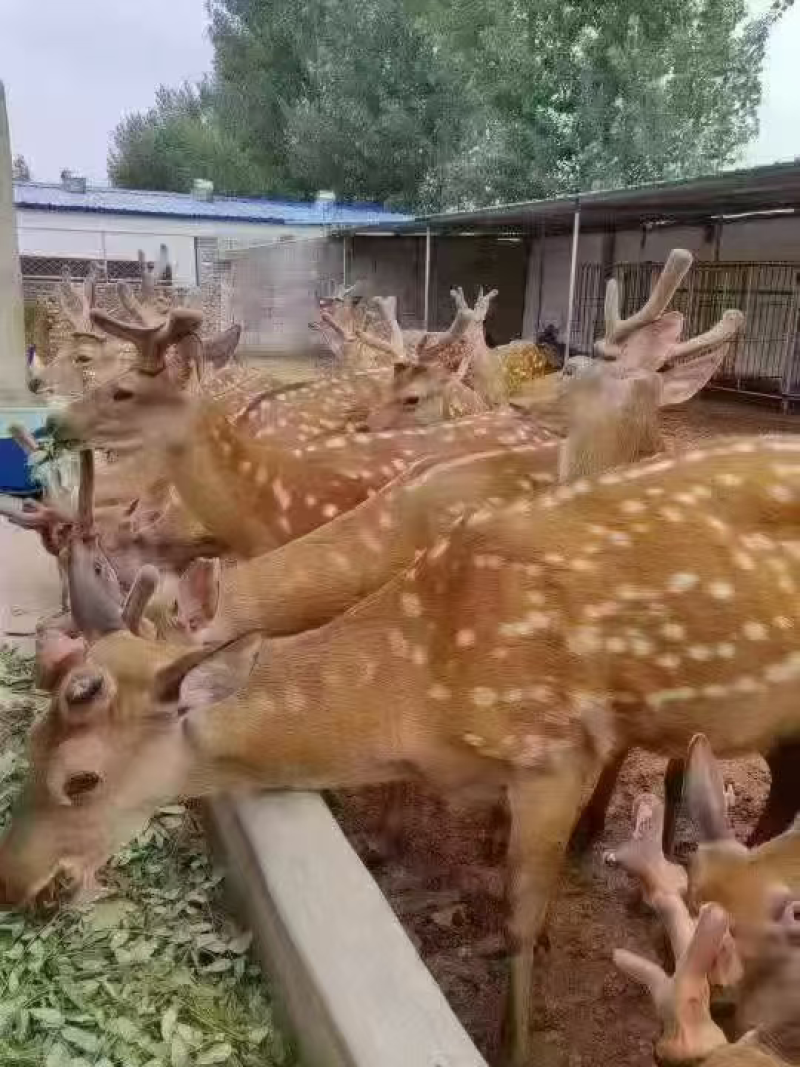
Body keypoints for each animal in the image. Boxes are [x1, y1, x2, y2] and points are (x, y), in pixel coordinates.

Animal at [6, 434, 800, 1065]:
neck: (421, 698)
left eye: (82, 778)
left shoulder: (553, 749)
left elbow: (520, 915)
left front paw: (514, 1043)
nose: (15, 882)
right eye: (31, 738)